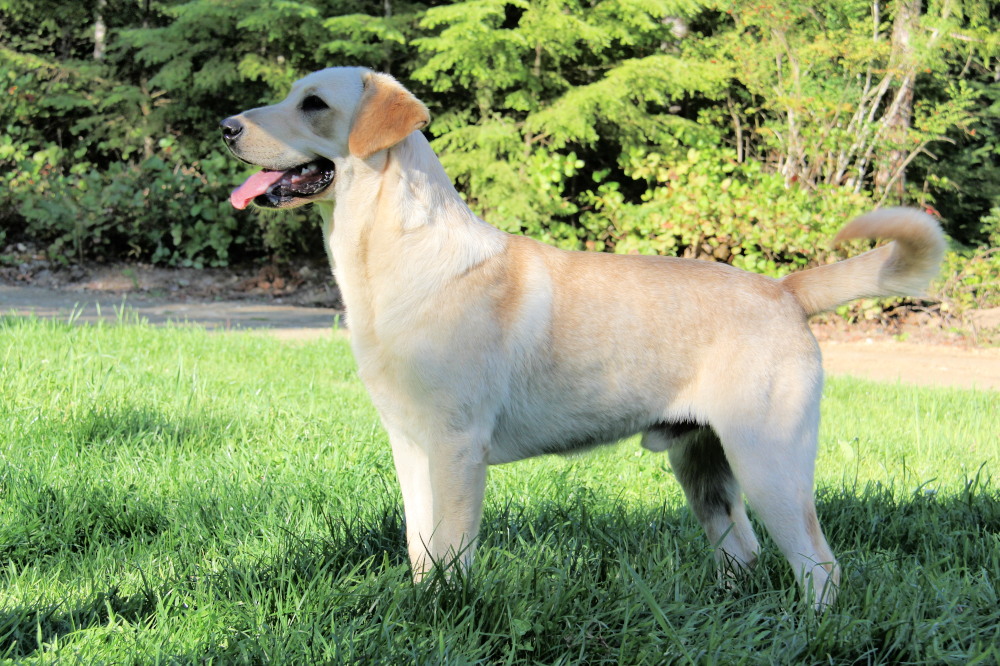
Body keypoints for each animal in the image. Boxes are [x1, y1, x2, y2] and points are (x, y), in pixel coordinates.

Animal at [221, 68, 944, 608]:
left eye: (313, 104)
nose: (225, 127)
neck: (392, 259)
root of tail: (785, 289)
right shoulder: (410, 445)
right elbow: (419, 549)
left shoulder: (457, 448)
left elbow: (452, 554)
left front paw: (444, 619)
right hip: (704, 469)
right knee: (743, 554)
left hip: (770, 461)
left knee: (820, 566)